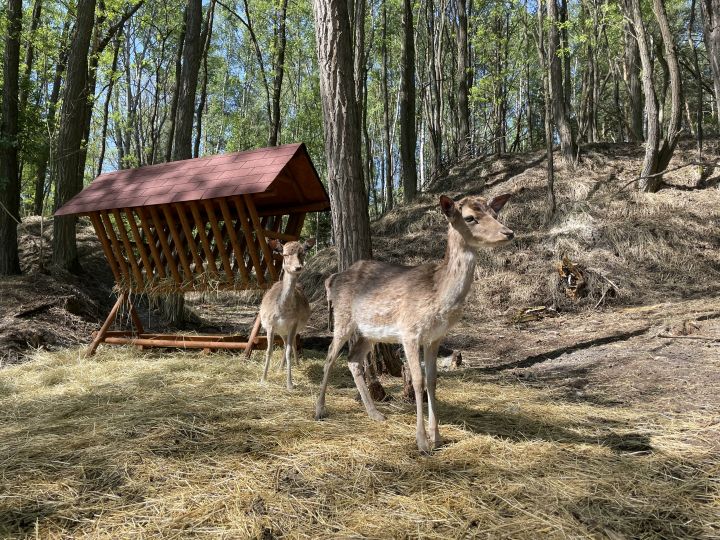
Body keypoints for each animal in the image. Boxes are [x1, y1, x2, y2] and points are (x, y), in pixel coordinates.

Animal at [260, 239, 314, 388]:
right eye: (284, 254)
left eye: (302, 253)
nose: (298, 267)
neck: (283, 310)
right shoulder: (270, 325)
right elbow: (269, 350)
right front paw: (263, 379)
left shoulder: (293, 324)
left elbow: (289, 350)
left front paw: (290, 384)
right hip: (281, 331)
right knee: (284, 344)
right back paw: (280, 367)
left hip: (290, 330)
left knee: (292, 343)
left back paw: (297, 364)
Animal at [314, 192, 512, 454]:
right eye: (470, 217)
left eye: (495, 213)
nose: (508, 232)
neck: (438, 295)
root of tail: (332, 278)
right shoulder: (409, 332)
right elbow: (418, 381)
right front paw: (422, 442)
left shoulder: (435, 337)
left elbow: (432, 380)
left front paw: (437, 437)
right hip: (343, 319)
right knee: (329, 356)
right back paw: (319, 410)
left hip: (369, 332)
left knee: (353, 359)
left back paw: (375, 413)